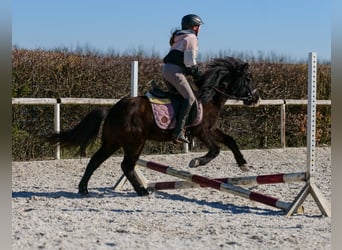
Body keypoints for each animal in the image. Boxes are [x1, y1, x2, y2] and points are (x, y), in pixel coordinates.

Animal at [46, 57, 260, 196]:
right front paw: (197, 162)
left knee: (96, 161)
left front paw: (243, 164)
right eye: (248, 79)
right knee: (126, 165)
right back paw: (142, 191)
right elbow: (215, 150)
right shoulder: (201, 131)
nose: (256, 99)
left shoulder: (211, 129)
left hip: (112, 143)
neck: (210, 97)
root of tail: (113, 109)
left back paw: (84, 188)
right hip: (135, 142)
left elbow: (230, 141)